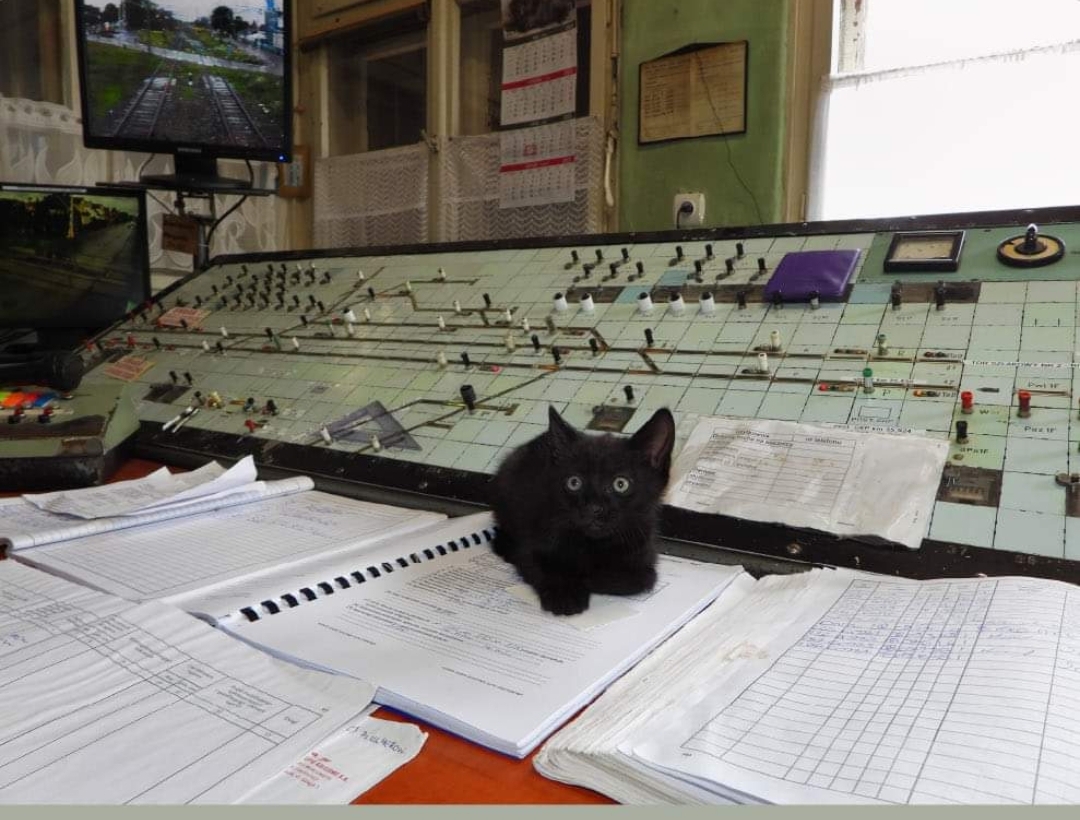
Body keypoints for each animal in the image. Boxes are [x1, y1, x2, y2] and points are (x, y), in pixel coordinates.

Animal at [490, 406, 676, 616]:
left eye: (621, 484)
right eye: (574, 482)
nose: (593, 508)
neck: (594, 544)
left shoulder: (644, 549)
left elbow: (641, 578)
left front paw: (587, 578)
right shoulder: (535, 536)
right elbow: (536, 564)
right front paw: (565, 593)